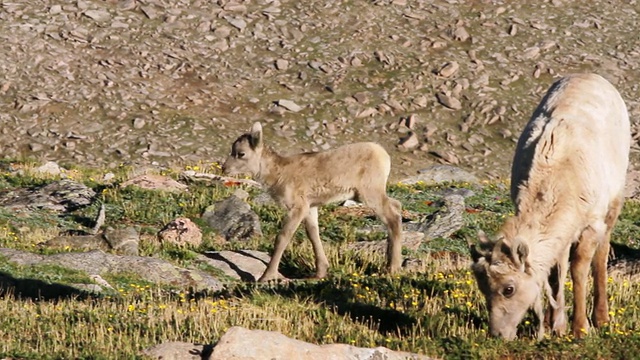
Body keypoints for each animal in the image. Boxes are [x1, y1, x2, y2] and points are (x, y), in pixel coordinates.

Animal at [222, 122, 402, 282]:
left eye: (241, 153)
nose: (224, 168)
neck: (277, 174)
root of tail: (384, 156)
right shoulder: (310, 207)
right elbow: (313, 234)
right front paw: (320, 273)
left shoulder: (298, 207)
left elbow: (282, 238)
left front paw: (266, 277)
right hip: (363, 195)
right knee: (396, 206)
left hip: (370, 193)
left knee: (392, 217)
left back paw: (392, 268)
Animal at [470, 74, 632, 340]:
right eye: (483, 287)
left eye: (508, 289)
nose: (498, 334)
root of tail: (591, 75)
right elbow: (556, 272)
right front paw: (556, 325)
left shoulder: (591, 225)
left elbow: (578, 269)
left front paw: (580, 328)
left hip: (614, 202)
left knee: (602, 254)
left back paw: (602, 318)